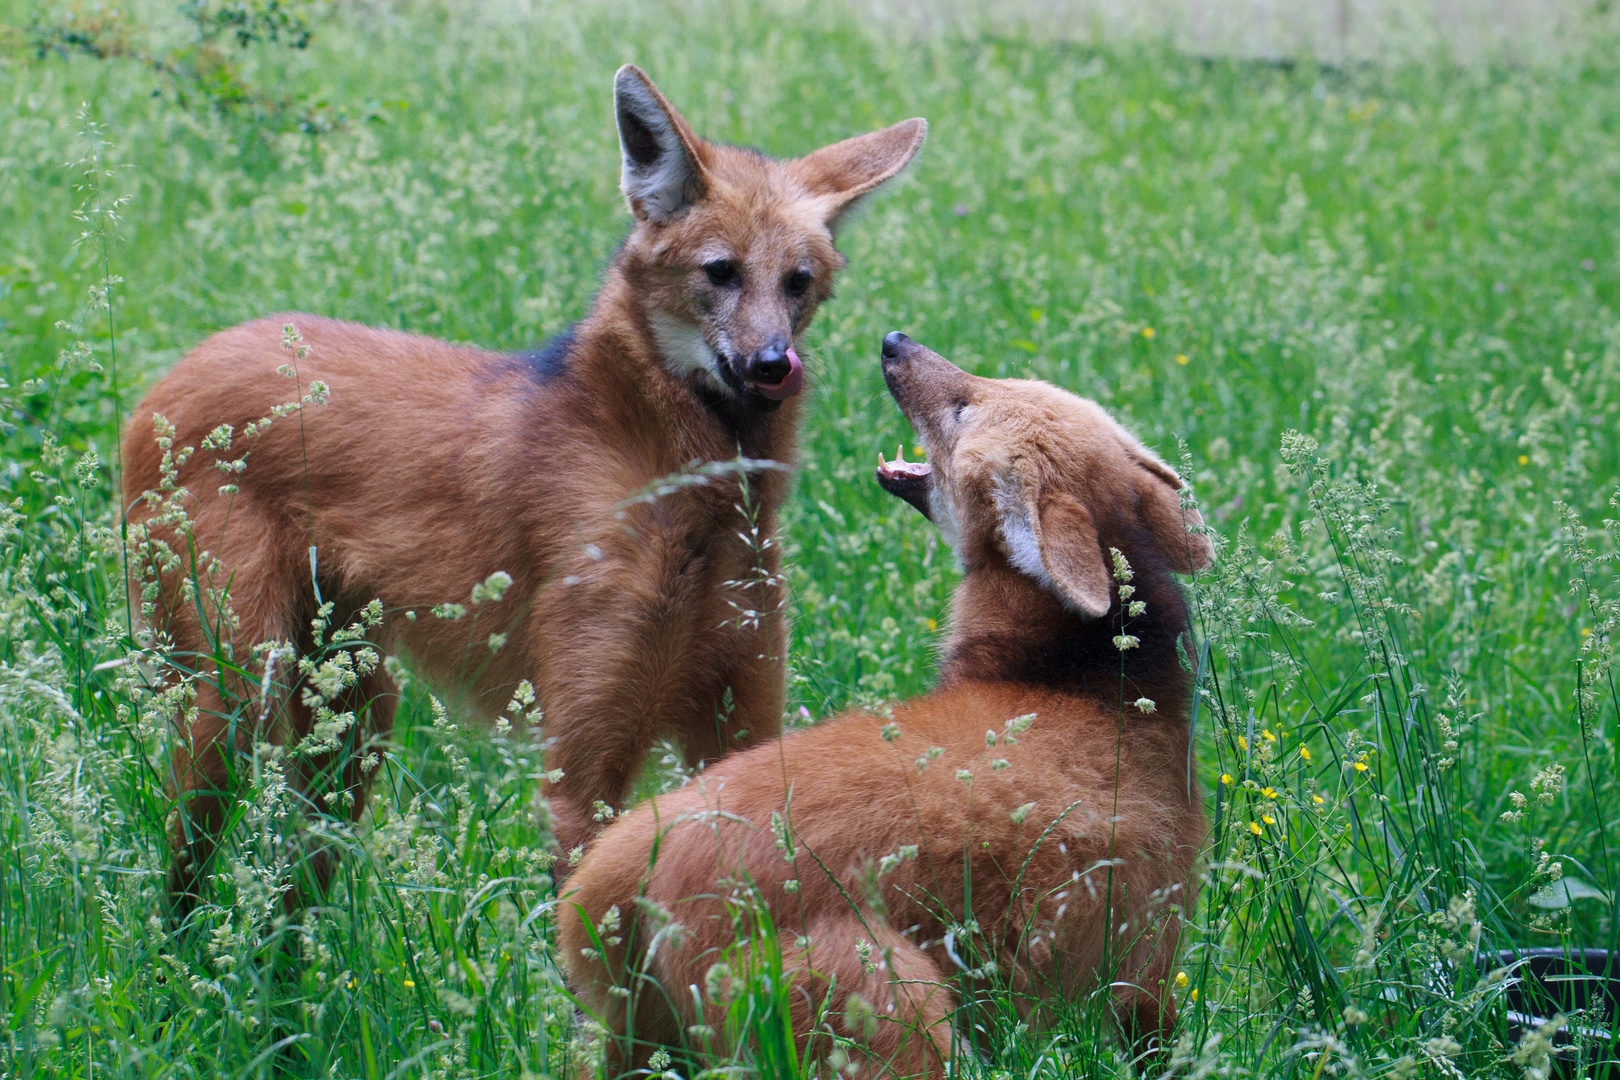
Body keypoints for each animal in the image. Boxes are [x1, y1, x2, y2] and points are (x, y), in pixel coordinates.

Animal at [123, 65, 926, 913]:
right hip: (234, 689)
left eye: (797, 283)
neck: (691, 493)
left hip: (354, 706)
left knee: (295, 876)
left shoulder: (740, 715)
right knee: (181, 880)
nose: (772, 364)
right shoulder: (581, 764)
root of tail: (171, 375)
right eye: (721, 272)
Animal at [563, 333, 1211, 1075]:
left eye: (963, 407)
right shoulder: (1147, 950)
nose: (895, 342)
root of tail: (628, 864)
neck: (1095, 685)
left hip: (646, 1039)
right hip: (898, 1014)